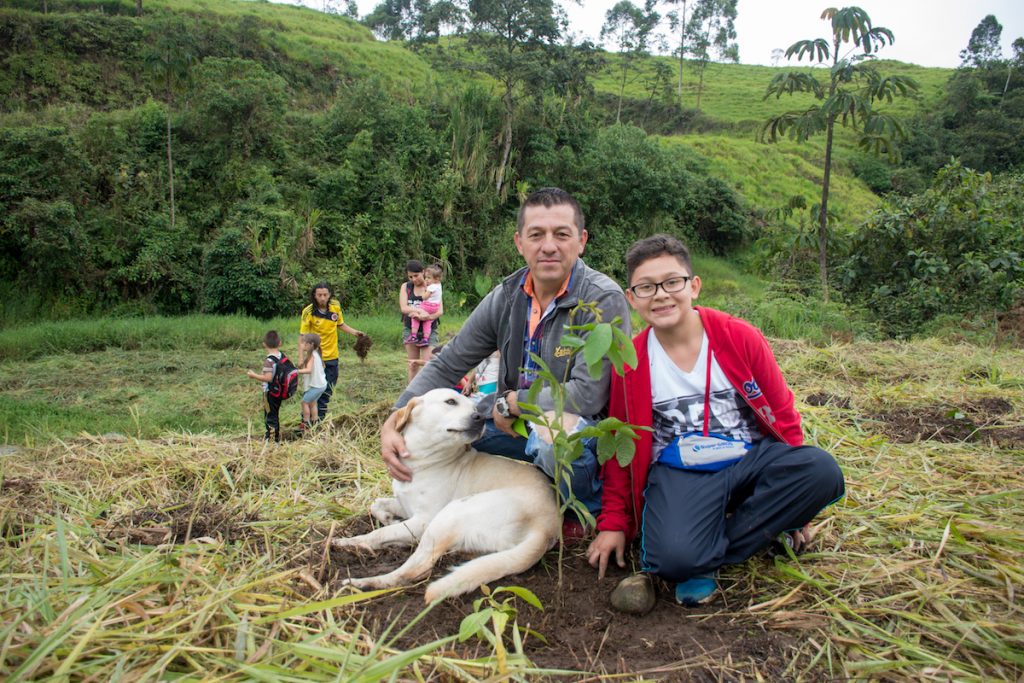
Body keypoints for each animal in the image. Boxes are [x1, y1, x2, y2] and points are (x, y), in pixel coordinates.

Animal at [333, 387, 561, 602]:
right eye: (451, 402)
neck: (424, 461)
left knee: (416, 569)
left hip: (450, 514)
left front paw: (357, 540)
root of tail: (546, 528)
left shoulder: (423, 520)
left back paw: (362, 581)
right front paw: (388, 518)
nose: (480, 417)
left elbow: (379, 533)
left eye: (475, 408)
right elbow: (377, 505)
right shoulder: (406, 506)